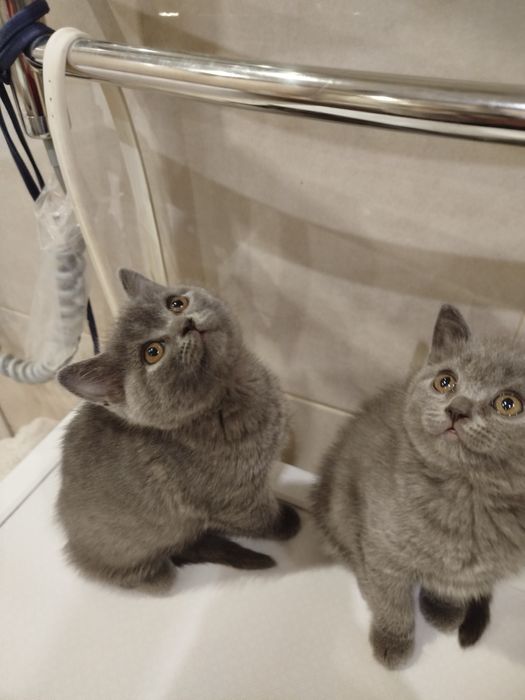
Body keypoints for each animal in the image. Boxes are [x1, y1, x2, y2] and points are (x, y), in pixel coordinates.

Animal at [57, 269, 300, 590]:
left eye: (176, 304)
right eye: (152, 352)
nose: (186, 323)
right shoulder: (234, 500)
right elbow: (263, 518)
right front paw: (288, 523)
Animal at [312, 304, 525, 669]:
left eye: (508, 404)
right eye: (445, 382)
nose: (457, 409)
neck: (465, 500)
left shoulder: (475, 570)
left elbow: (452, 585)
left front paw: (443, 609)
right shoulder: (381, 542)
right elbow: (391, 597)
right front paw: (394, 640)